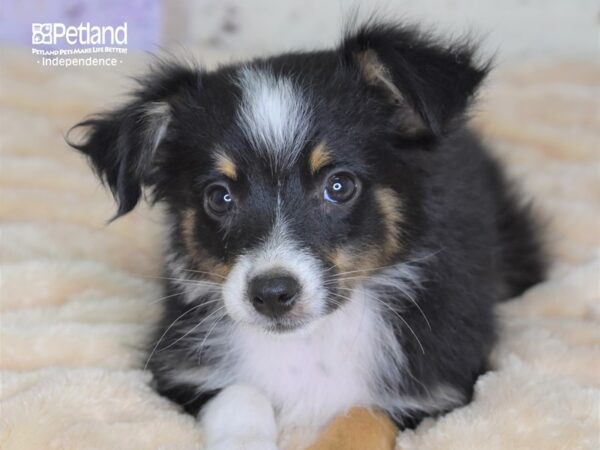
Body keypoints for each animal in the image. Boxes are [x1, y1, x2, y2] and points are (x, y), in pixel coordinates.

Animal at [68, 20, 548, 446]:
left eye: (339, 186)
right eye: (219, 197)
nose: (271, 294)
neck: (312, 340)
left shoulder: (438, 391)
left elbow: (362, 413)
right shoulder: (176, 371)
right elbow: (239, 391)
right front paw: (244, 439)